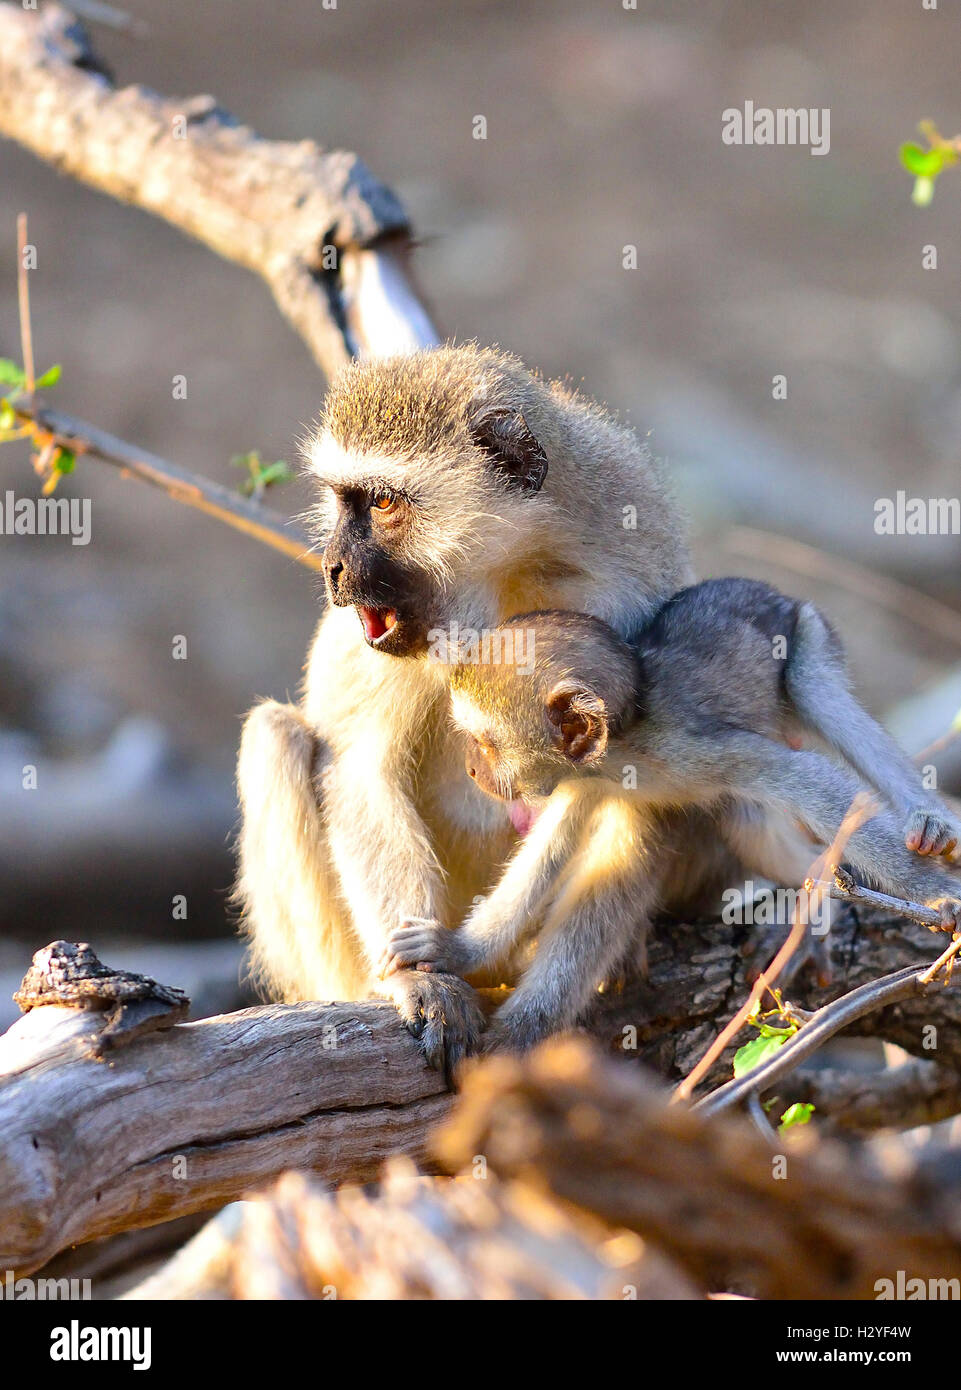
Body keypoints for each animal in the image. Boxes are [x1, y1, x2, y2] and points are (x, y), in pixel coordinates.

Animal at [236, 343, 705, 1073]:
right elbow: (360, 769)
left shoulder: (632, 583)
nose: (334, 566)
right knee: (275, 734)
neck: (509, 571)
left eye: (383, 502)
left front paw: (535, 1017)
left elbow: (631, 793)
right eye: (343, 501)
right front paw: (422, 981)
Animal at [381, 584, 961, 1049]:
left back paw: (925, 825)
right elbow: (549, 850)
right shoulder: (582, 782)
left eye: (485, 745)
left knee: (817, 695)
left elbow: (805, 777)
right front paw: (459, 950)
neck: (625, 743)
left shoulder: (691, 748)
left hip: (808, 632)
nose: (472, 769)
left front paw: (938, 895)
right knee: (745, 824)